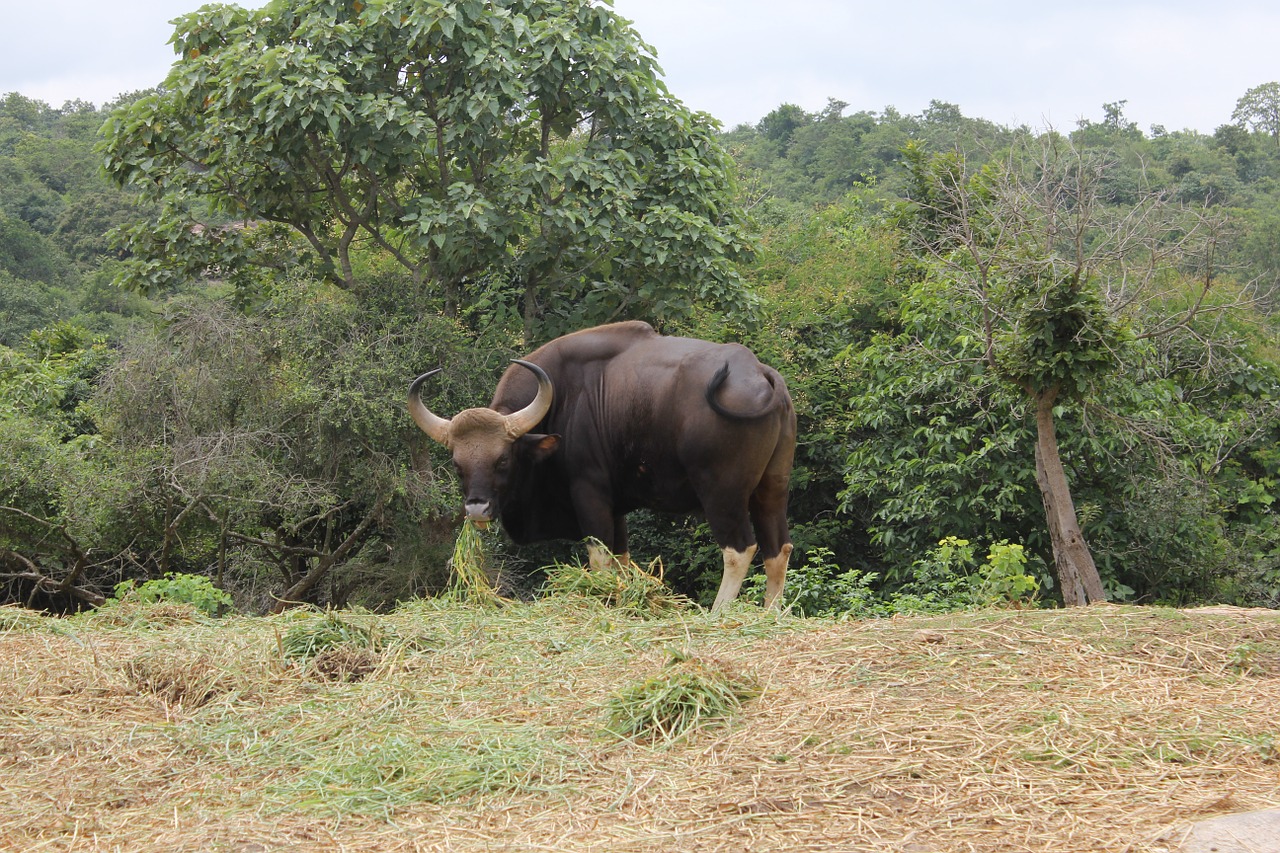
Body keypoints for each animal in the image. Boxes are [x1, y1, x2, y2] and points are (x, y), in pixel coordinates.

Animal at [404, 322, 793, 607]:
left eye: (503, 459)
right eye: (457, 464)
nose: (477, 508)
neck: (562, 400)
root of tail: (760, 373)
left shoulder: (590, 495)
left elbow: (600, 561)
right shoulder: (616, 508)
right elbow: (621, 559)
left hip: (721, 492)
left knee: (739, 549)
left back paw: (719, 613)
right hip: (773, 486)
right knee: (778, 548)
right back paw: (770, 613)